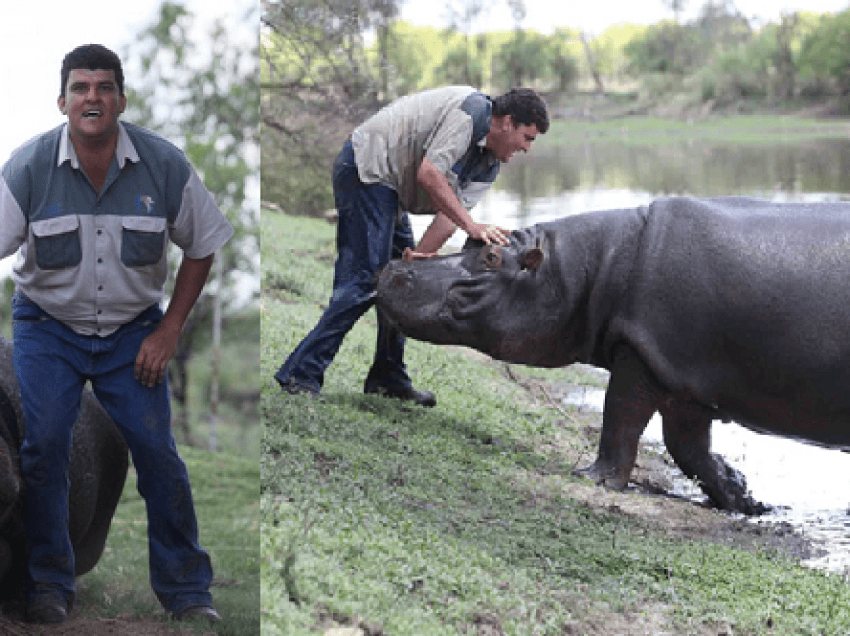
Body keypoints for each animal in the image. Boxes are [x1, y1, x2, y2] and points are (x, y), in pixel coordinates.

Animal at [378, 199, 850, 516]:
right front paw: (743, 496)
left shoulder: (640, 353)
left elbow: (620, 417)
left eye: (493, 257)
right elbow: (689, 449)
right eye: (471, 239)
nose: (397, 267)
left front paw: (593, 478)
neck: (594, 264)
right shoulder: (680, 377)